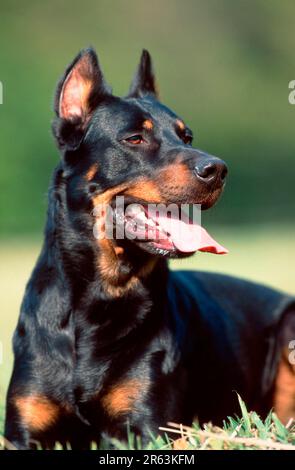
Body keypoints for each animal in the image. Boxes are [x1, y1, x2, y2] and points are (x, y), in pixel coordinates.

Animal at [4, 47, 295, 448]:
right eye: (134, 139)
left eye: (187, 136)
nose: (218, 170)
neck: (101, 296)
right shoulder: (23, 429)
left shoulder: (146, 426)